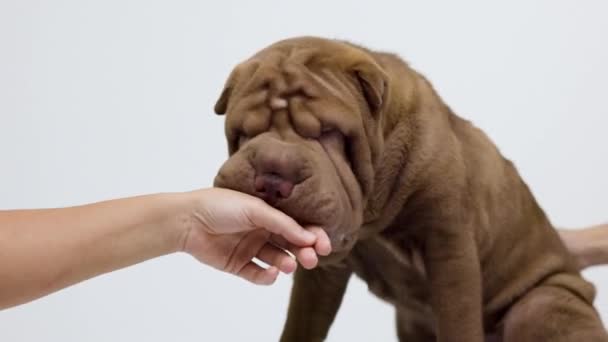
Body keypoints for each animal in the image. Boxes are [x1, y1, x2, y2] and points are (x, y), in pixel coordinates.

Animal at [211, 36, 604, 340]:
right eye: (244, 132)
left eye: (329, 133)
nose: (273, 171)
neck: (372, 213)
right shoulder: (324, 274)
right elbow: (302, 323)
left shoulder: (449, 245)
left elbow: (459, 322)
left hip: (543, 303)